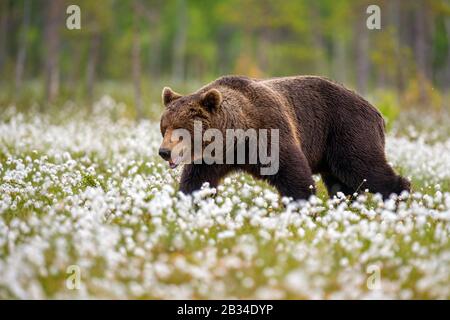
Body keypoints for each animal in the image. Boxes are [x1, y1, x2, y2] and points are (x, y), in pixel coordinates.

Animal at [159, 75, 412, 200]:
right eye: (164, 127)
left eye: (180, 130)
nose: (164, 152)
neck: (235, 140)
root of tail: (376, 111)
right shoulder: (211, 157)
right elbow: (196, 181)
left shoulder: (269, 133)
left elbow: (293, 175)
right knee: (342, 183)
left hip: (346, 130)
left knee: (363, 167)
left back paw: (399, 196)